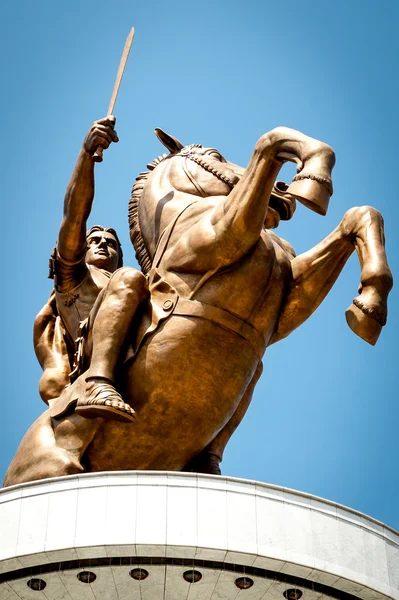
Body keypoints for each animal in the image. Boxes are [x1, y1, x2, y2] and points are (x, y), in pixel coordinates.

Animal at [1, 125, 392, 482]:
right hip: (53, 466)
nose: (283, 192)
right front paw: (314, 179)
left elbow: (360, 215)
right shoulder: (223, 234)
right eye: (216, 155)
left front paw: (369, 306)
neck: (190, 208)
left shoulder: (289, 302)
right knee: (127, 280)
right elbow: (271, 139)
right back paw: (103, 397)